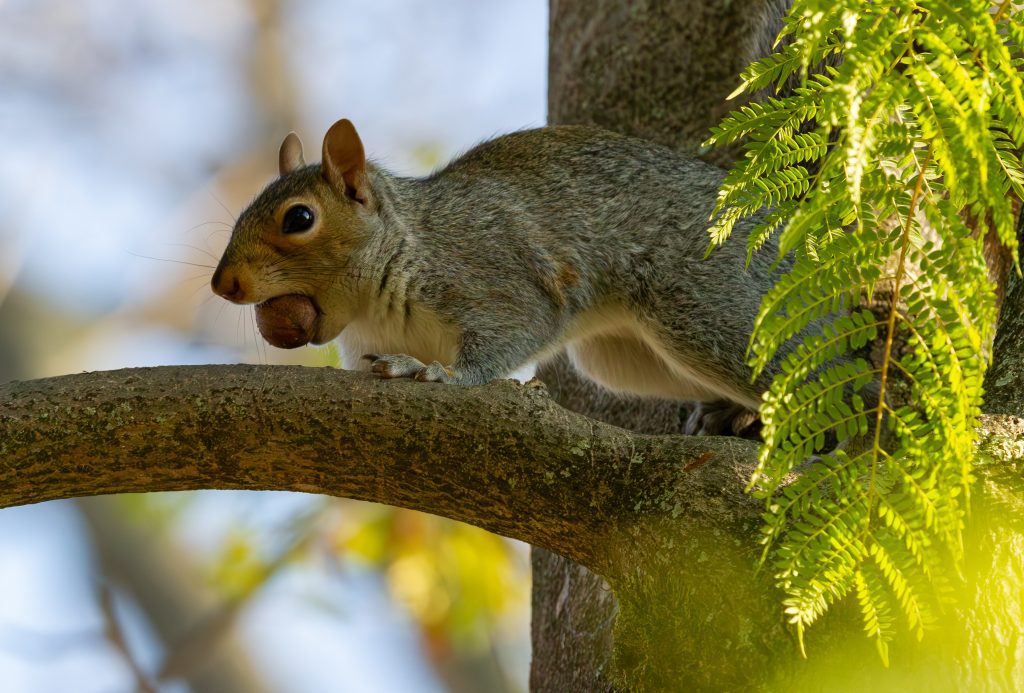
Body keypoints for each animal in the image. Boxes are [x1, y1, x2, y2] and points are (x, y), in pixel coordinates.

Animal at [212, 119, 789, 434]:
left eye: (299, 219)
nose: (223, 286)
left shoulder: (491, 271)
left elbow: (517, 328)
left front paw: (443, 375)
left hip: (701, 309)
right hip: (623, 359)